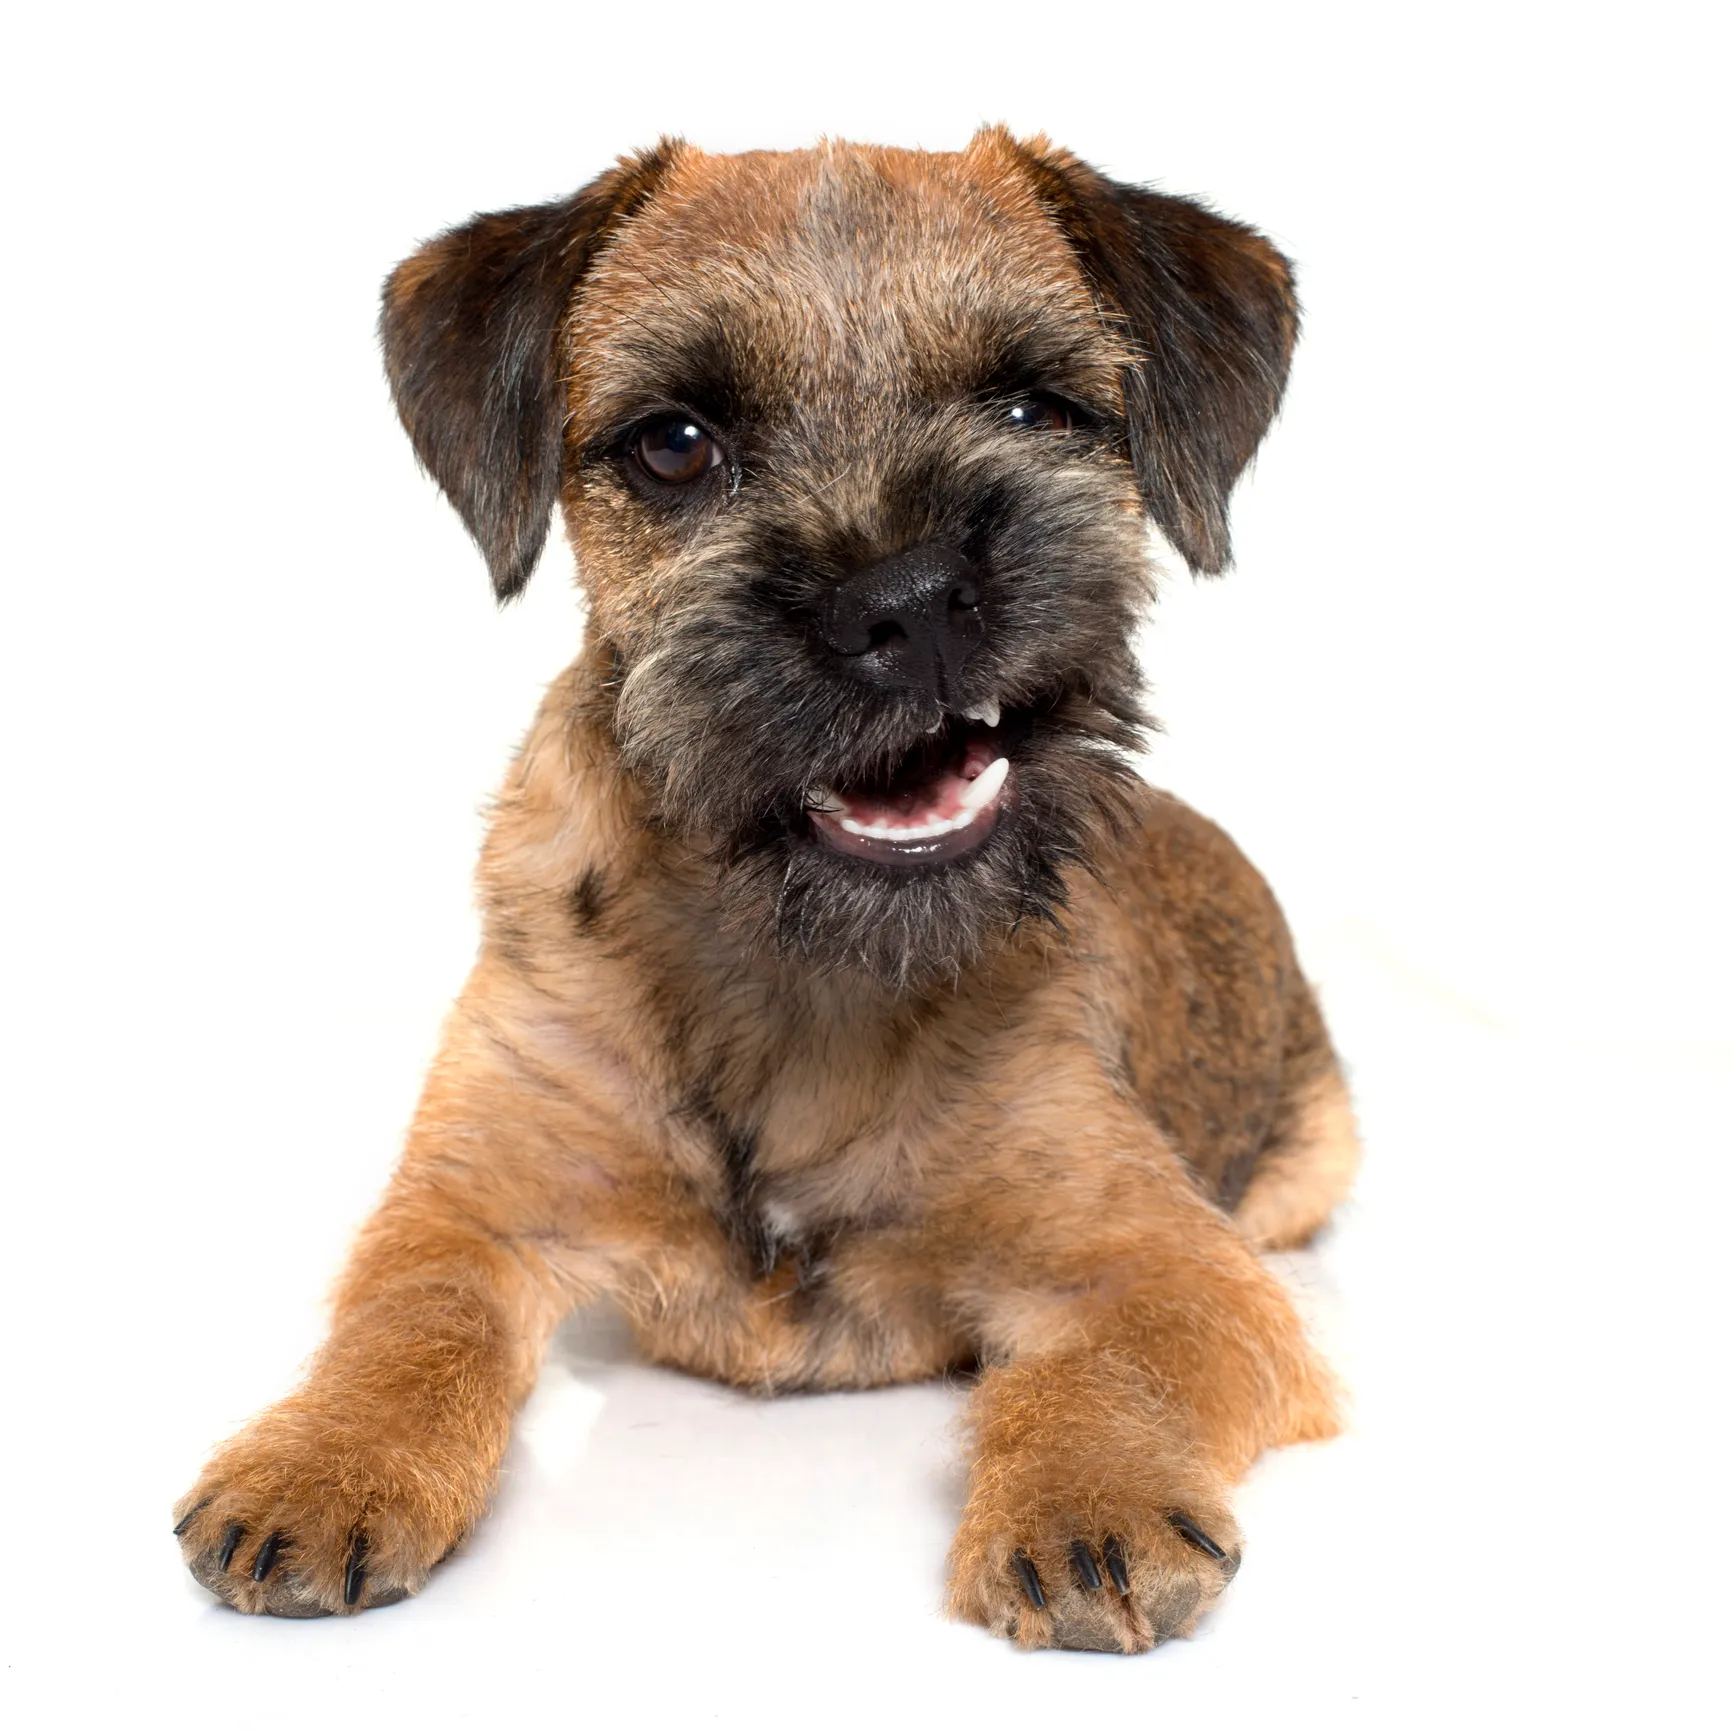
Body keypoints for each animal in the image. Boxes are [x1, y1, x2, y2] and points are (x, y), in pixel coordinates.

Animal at [179, 125, 1364, 1648]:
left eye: (1036, 408)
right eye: (676, 445)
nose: (906, 596)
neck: (794, 963)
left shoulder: (1160, 1259)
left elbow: (1113, 1367)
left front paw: (1083, 1500)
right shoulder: (468, 1200)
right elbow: (409, 1322)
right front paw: (324, 1462)